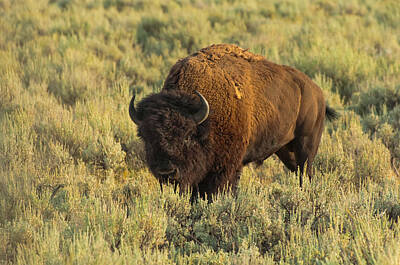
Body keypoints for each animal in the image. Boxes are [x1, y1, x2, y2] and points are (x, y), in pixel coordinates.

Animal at [130, 43, 336, 198]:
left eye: (187, 136)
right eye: (146, 138)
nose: (166, 172)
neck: (206, 120)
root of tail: (316, 92)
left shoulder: (225, 168)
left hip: (306, 145)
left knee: (305, 173)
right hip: (285, 150)